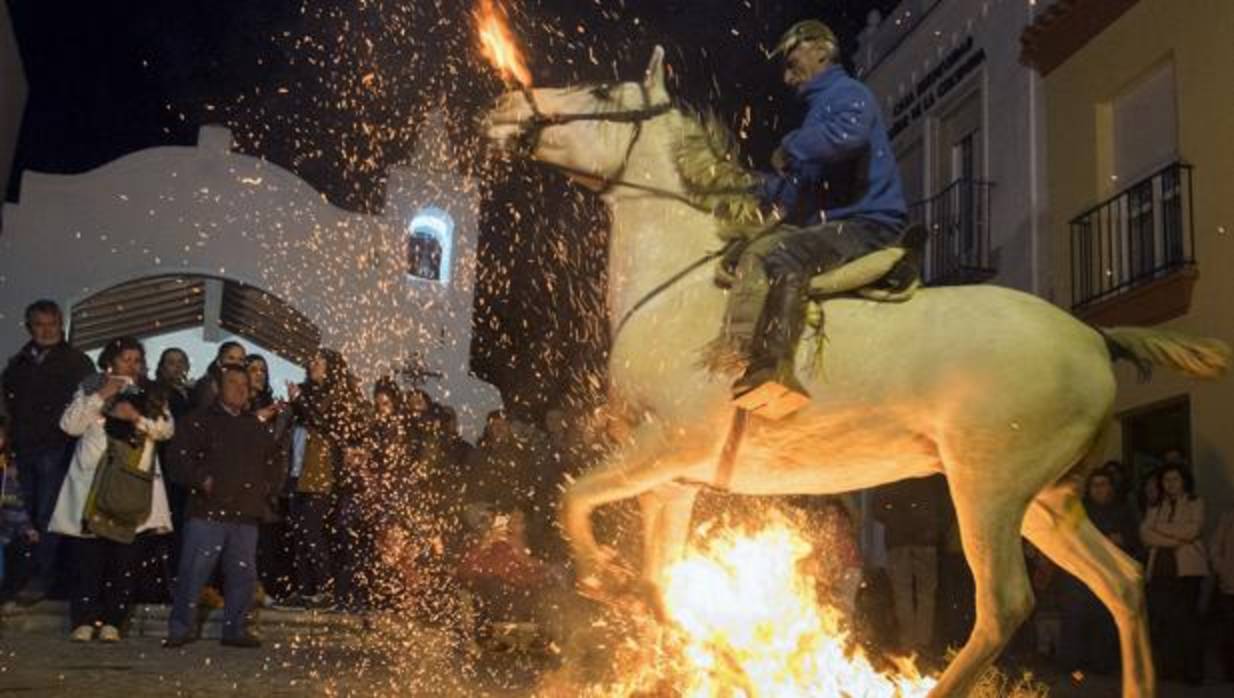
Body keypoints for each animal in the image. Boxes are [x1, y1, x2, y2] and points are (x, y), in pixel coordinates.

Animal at [481, 46, 1224, 695]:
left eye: (603, 91)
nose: (504, 104)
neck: (680, 286)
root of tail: (1095, 337)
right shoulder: (672, 479)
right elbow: (658, 580)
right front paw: (696, 644)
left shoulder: (669, 444)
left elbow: (572, 500)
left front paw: (603, 579)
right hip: (1046, 501)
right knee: (1123, 580)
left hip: (987, 491)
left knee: (1005, 605)